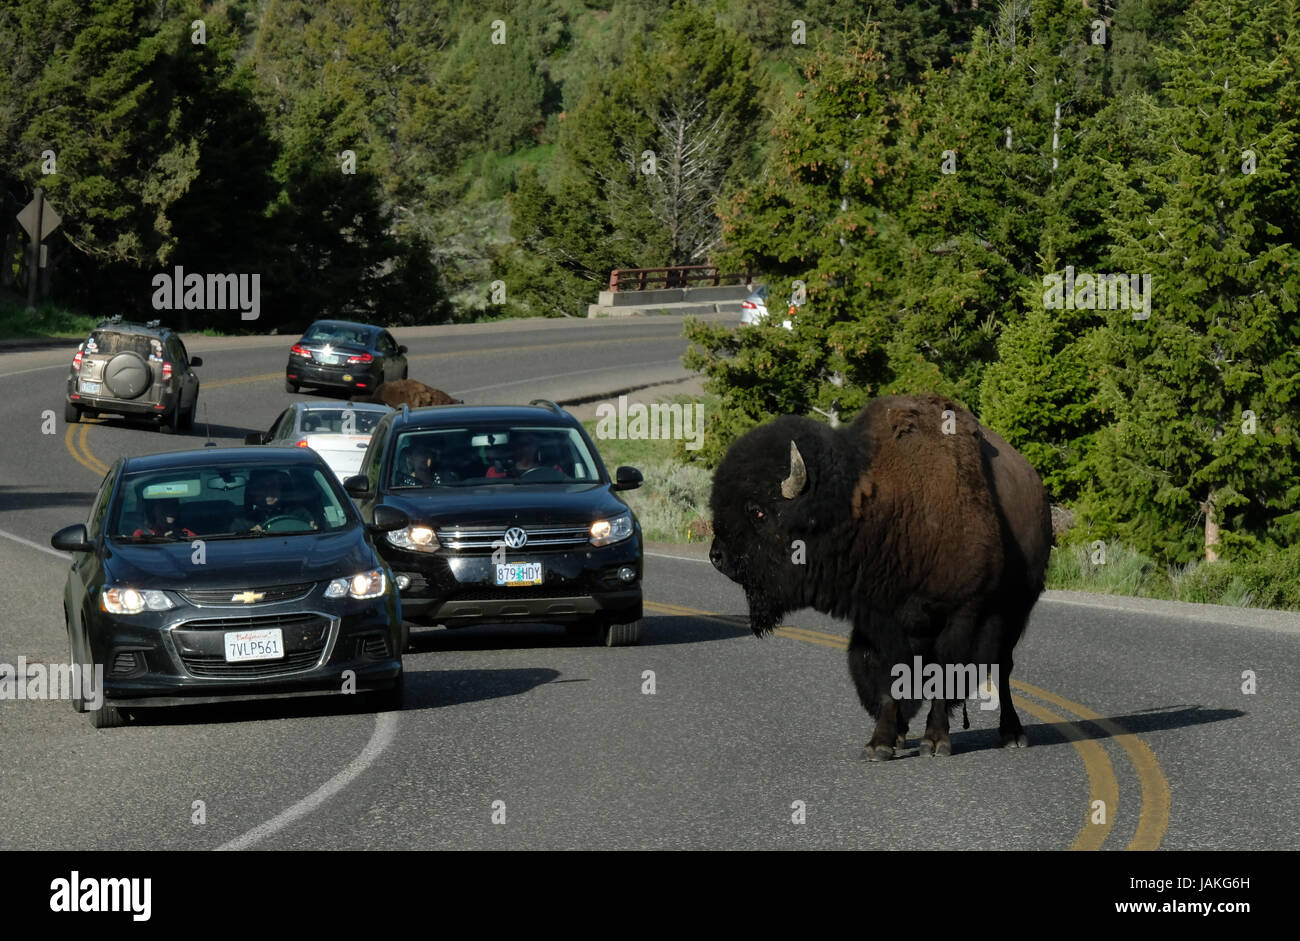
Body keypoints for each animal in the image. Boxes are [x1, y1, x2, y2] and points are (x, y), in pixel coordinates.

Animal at [712, 392, 1055, 759]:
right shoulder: (880, 621)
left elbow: (944, 672)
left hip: (1016, 610)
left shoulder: (962, 612)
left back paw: (1012, 734)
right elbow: (889, 677)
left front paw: (935, 742)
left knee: (1003, 667)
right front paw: (880, 743)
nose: (717, 556)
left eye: (758, 511)